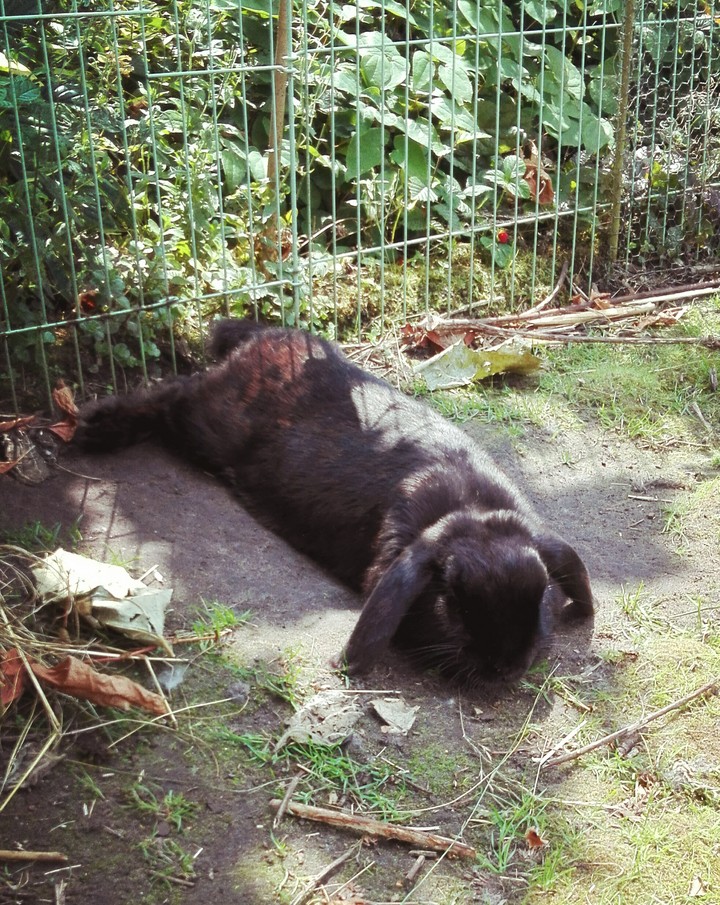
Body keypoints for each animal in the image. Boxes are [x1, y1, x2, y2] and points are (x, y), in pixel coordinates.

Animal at [76, 318, 594, 682]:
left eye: (542, 594)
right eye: (454, 602)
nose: (506, 666)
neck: (470, 511)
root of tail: (270, 337)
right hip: (207, 424)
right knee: (172, 394)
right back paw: (94, 428)